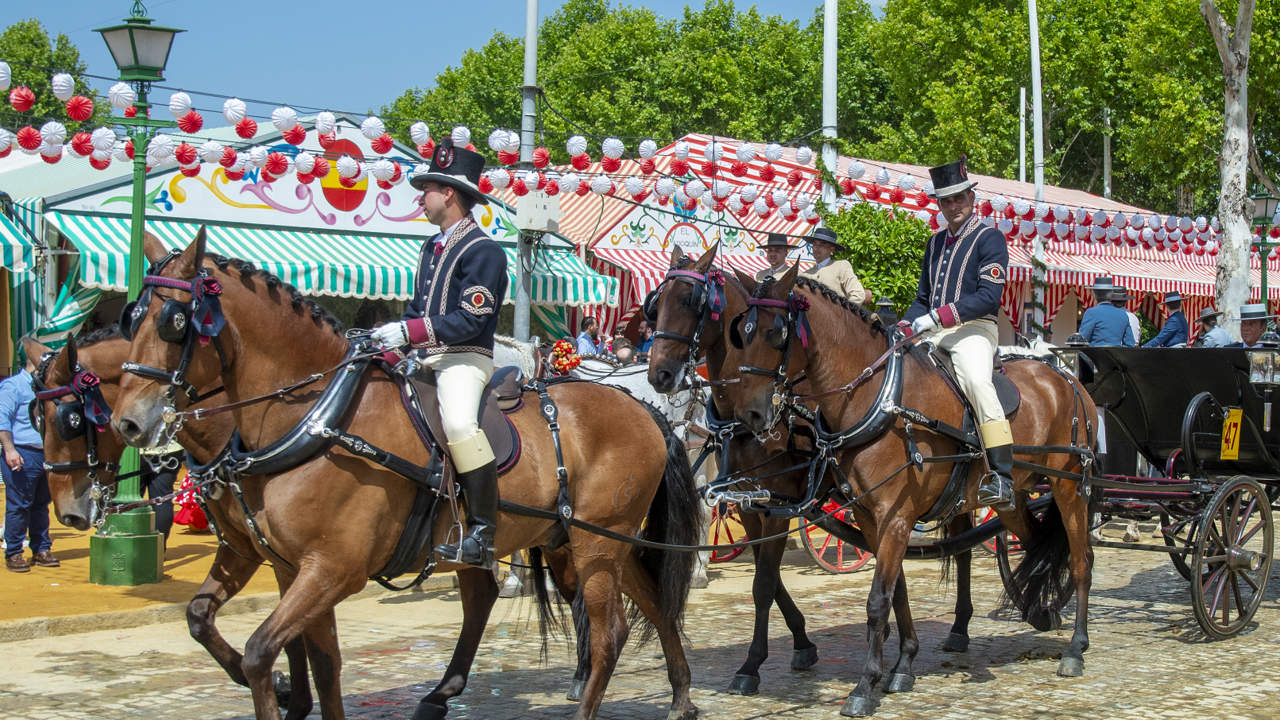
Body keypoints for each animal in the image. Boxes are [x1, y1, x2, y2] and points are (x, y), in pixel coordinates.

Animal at [23, 333, 317, 717]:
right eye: (36, 419)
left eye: (70, 420)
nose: (67, 514)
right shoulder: (253, 547)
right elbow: (201, 619)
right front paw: (287, 690)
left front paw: (286, 690)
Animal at [112, 230, 701, 717]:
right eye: (130, 318)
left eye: (174, 322)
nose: (127, 422)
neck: (319, 415)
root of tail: (639, 404)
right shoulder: (275, 560)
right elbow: (277, 645)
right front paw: (292, 693)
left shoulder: (330, 570)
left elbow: (263, 653)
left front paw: (278, 691)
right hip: (592, 542)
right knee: (652, 605)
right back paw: (680, 695)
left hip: (597, 544)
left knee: (609, 633)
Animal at [650, 243, 977, 691]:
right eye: (655, 305)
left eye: (690, 302)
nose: (660, 375)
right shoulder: (753, 502)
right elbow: (767, 581)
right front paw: (801, 643)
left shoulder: (779, 502)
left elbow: (764, 583)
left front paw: (754, 664)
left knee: (965, 549)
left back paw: (959, 629)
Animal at [727, 266, 1095, 712]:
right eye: (741, 333)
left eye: (776, 333)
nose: (751, 414)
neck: (879, 399)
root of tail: (1064, 376)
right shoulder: (869, 516)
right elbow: (893, 590)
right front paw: (899, 667)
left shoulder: (896, 516)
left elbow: (877, 600)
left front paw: (865, 685)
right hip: (1013, 500)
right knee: (1039, 540)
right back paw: (1038, 611)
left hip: (1070, 488)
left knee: (1081, 560)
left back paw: (1075, 648)